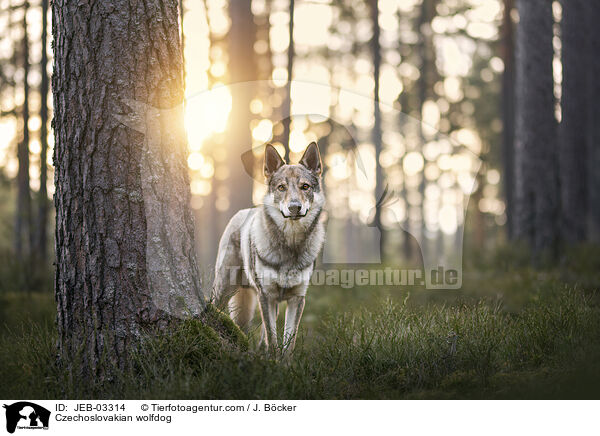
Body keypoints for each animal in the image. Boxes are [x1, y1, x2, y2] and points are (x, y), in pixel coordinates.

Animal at [212, 142, 326, 354]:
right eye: (281, 187)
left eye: (305, 186)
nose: (294, 207)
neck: (290, 244)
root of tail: (243, 211)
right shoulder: (266, 296)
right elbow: (273, 341)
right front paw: (273, 361)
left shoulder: (297, 299)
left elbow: (288, 343)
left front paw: (283, 362)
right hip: (225, 289)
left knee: (263, 335)